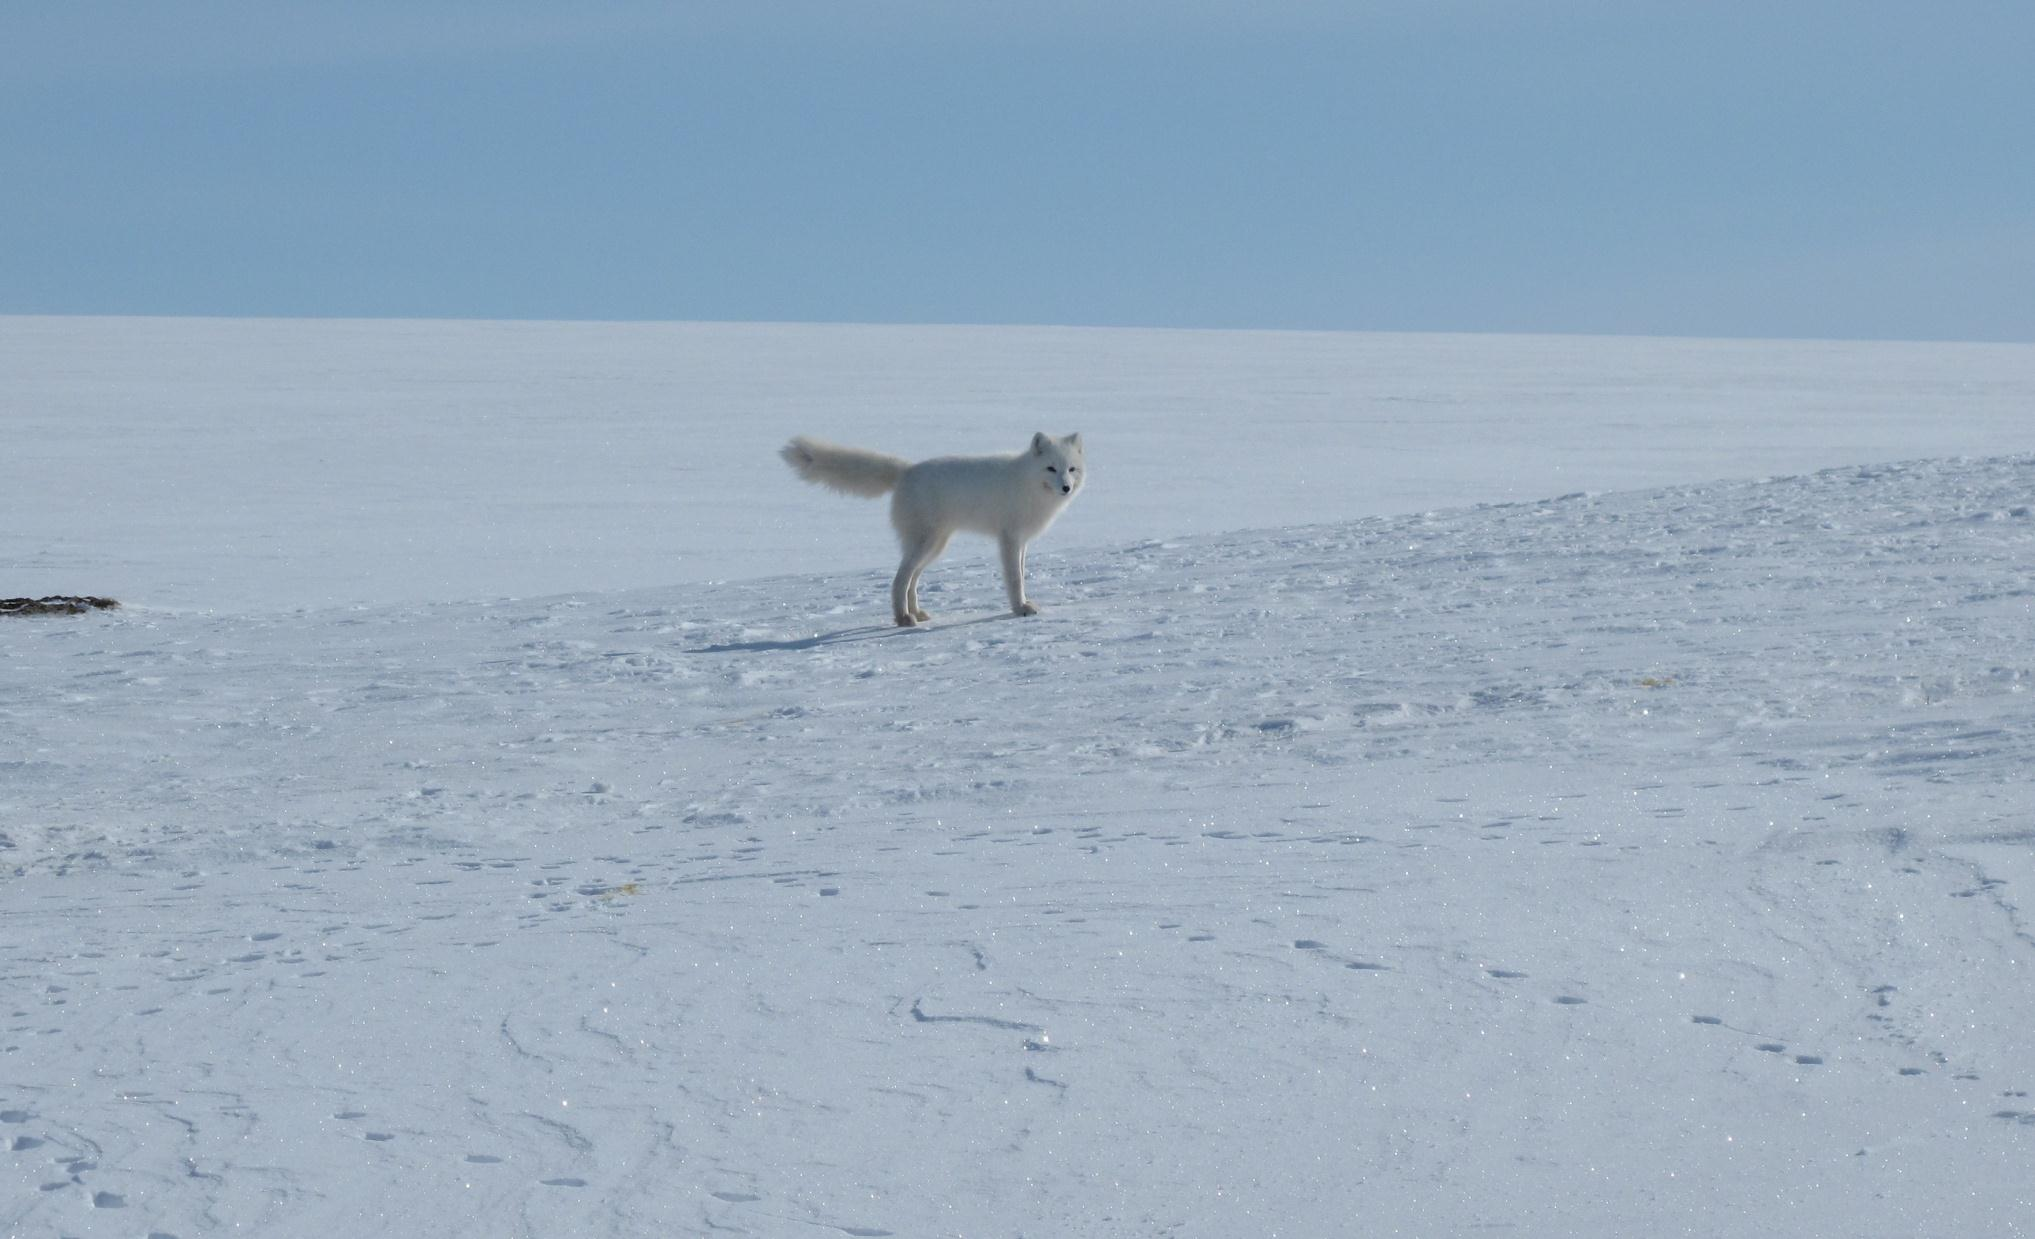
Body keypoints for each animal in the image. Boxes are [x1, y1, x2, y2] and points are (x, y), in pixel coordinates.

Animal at [777, 435, 1090, 626]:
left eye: (1071, 469)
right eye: (1050, 468)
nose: (1066, 487)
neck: (1027, 483)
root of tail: (906, 471)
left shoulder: (1023, 541)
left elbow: (1022, 575)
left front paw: (1025, 604)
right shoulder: (1009, 539)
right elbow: (1015, 579)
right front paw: (1019, 609)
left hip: (935, 545)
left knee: (912, 580)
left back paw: (916, 612)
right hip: (924, 543)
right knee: (899, 580)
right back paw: (903, 619)